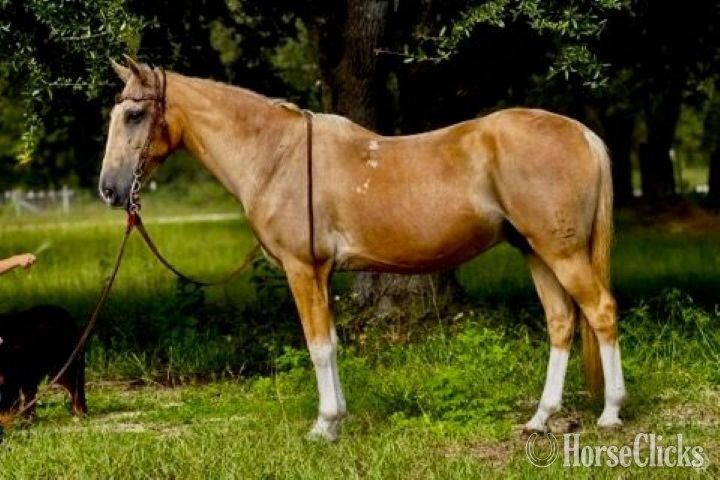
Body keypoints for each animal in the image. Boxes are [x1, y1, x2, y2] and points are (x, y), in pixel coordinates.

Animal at [99, 57, 626, 441]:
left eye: (134, 114)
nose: (109, 189)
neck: (277, 157)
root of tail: (582, 132)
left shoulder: (302, 269)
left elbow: (317, 346)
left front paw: (323, 426)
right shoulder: (323, 274)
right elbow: (331, 343)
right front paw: (337, 419)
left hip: (561, 253)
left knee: (600, 311)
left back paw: (611, 413)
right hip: (536, 251)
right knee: (561, 322)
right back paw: (540, 418)